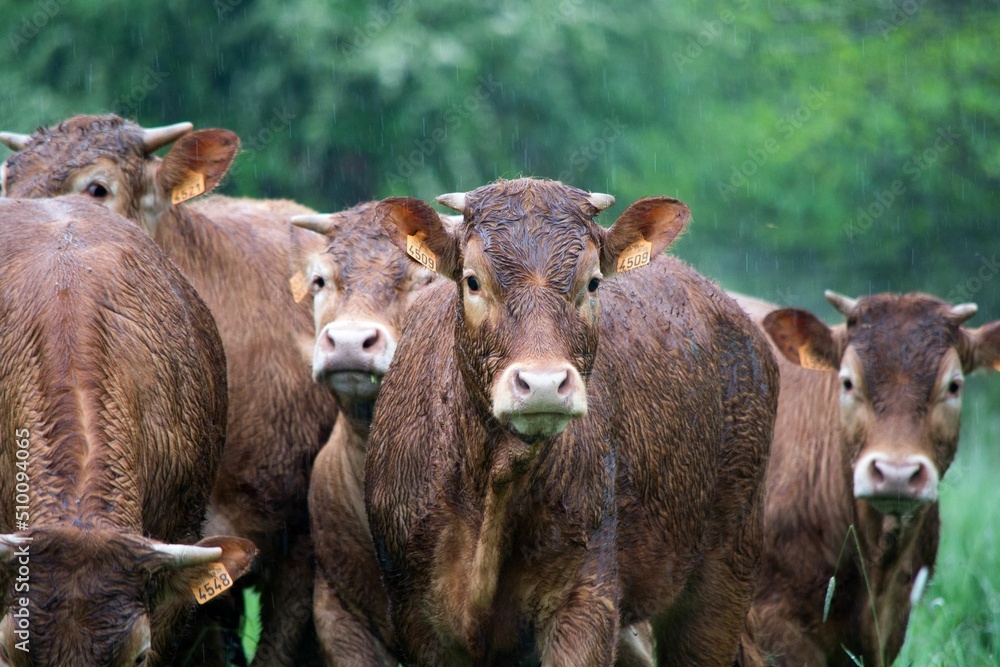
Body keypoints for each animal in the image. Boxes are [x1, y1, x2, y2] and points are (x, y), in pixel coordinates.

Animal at [363, 178, 779, 666]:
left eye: (593, 282)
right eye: (473, 281)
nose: (543, 384)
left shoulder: (586, 597)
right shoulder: (415, 617)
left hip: (726, 573)